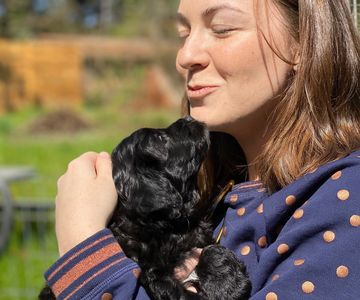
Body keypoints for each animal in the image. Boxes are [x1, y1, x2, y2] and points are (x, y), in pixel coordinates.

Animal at [110, 118, 250, 300]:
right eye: (160, 139)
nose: (188, 119)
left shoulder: (200, 238)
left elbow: (209, 249)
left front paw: (228, 285)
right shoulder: (153, 275)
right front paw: (227, 287)